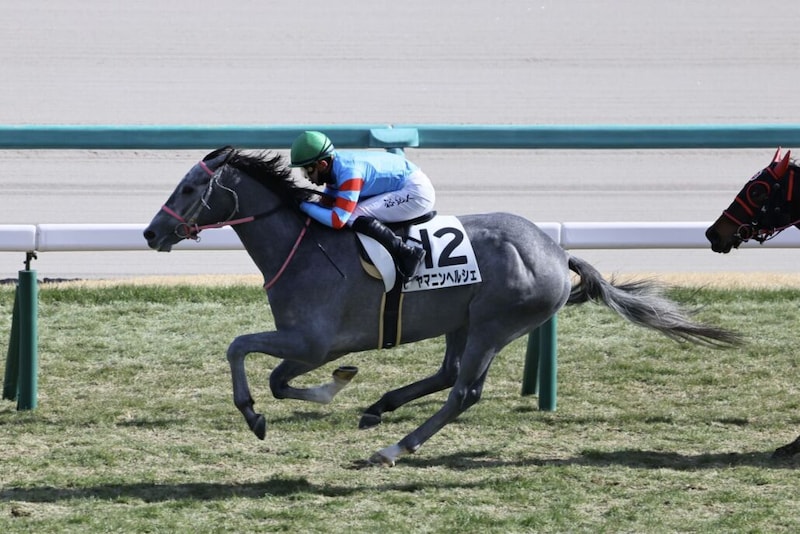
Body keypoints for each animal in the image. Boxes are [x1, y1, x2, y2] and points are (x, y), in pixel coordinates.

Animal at [144, 146, 739, 467]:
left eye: (190, 187)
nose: (151, 233)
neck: (301, 245)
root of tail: (556, 251)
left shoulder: (312, 341)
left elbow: (241, 351)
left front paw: (259, 414)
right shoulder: (309, 345)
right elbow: (274, 377)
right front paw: (336, 389)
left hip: (495, 326)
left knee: (463, 391)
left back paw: (395, 447)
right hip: (464, 320)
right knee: (448, 373)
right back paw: (378, 407)